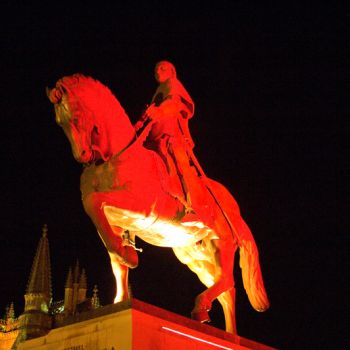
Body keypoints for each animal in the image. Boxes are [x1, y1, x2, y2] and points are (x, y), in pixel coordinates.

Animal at [47, 73, 270, 334]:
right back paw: (227, 331)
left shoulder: (141, 209)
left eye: (76, 117)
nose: (82, 155)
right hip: (194, 254)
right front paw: (120, 295)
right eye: (59, 122)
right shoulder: (115, 221)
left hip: (220, 243)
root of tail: (233, 206)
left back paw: (204, 309)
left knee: (228, 281)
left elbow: (94, 203)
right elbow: (113, 255)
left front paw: (130, 256)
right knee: (225, 290)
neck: (113, 157)